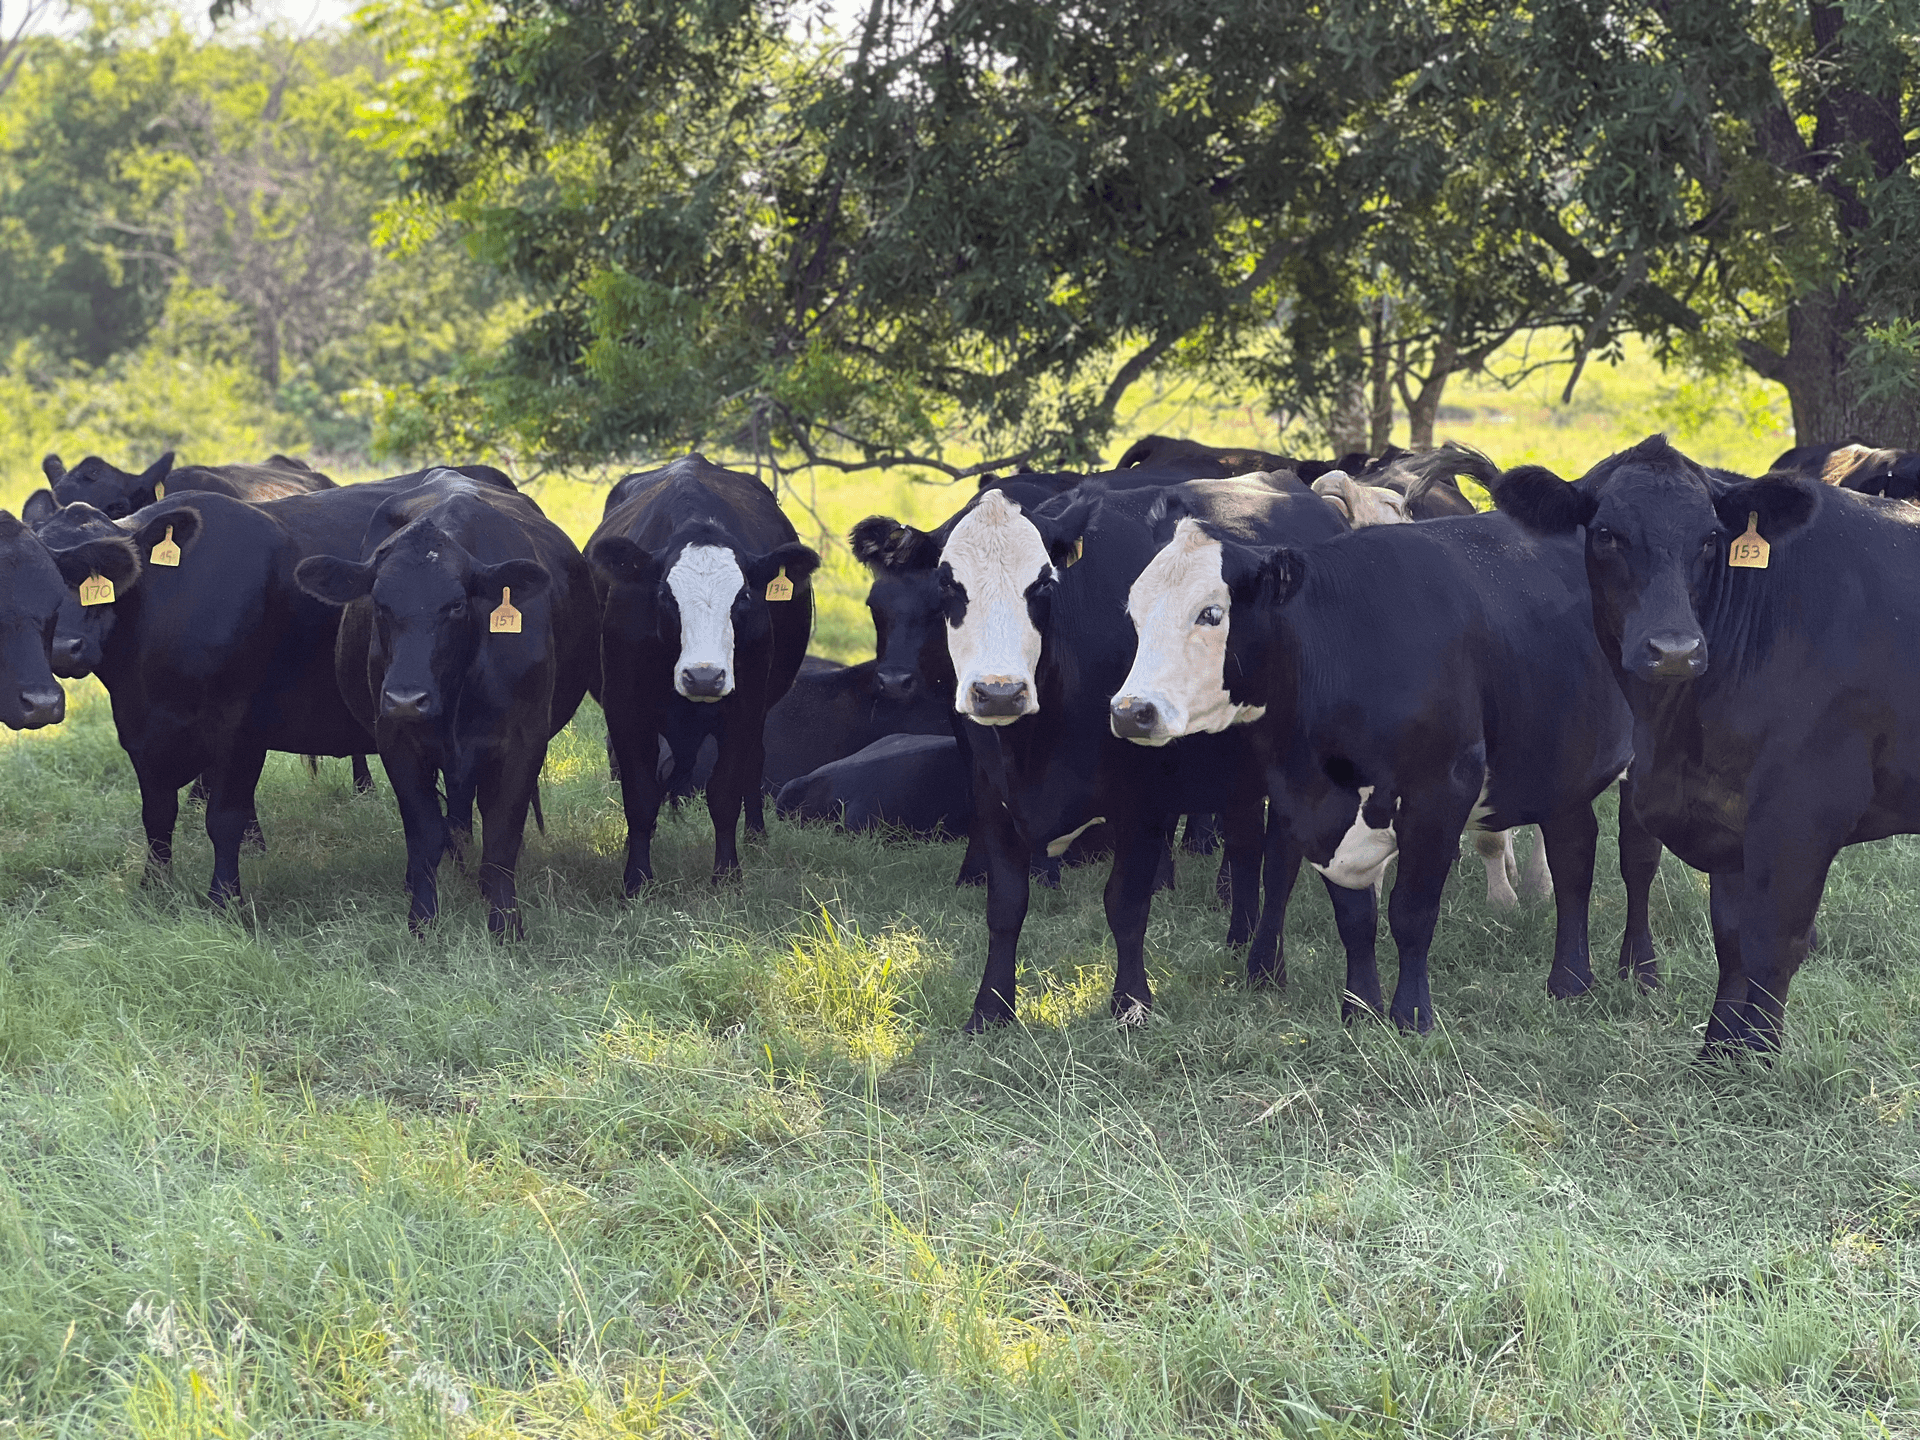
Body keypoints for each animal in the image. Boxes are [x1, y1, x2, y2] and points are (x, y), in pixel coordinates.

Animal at [294, 473, 596, 936]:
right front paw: (421, 921)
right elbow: (423, 831)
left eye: (455, 606)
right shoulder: (395, 739)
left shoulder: (525, 740)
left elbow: (502, 833)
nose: (406, 698)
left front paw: (505, 926)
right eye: (379, 604)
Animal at [586, 454, 820, 888]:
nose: (705, 677)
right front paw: (637, 879)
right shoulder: (625, 708)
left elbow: (725, 791)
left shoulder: (745, 707)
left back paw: (757, 837)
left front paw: (727, 875)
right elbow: (640, 794)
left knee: (754, 763)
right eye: (665, 594)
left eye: (743, 596)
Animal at [1107, 496, 1662, 1032]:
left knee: (1636, 862)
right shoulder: (1312, 808)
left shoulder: (1441, 793)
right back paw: (1570, 980)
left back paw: (1640, 970)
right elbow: (1355, 919)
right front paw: (1360, 1009)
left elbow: (1411, 912)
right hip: (1563, 766)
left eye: (1211, 613)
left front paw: (1411, 1015)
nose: (1130, 711)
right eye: (1134, 614)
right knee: (1574, 858)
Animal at [1492, 434, 1920, 1055]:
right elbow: (1732, 941)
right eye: (1606, 534)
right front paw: (1718, 1055)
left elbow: (1772, 944)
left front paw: (1758, 1061)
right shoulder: (1726, 814)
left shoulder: (1804, 810)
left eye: (1712, 539)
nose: (1674, 650)